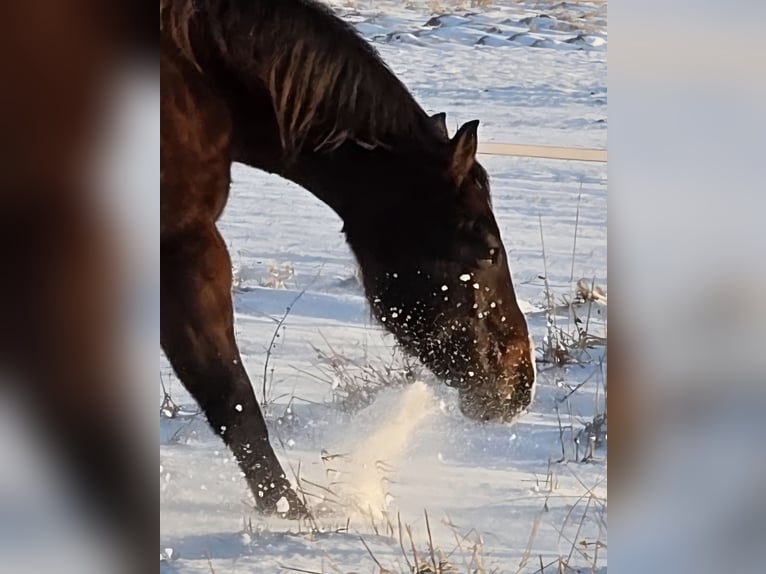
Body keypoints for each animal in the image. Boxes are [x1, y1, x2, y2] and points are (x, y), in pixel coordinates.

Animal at [161, 0, 535, 519]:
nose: (521, 380)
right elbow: (231, 398)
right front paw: (293, 517)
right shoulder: (185, 245)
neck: (200, 79)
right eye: (489, 250)